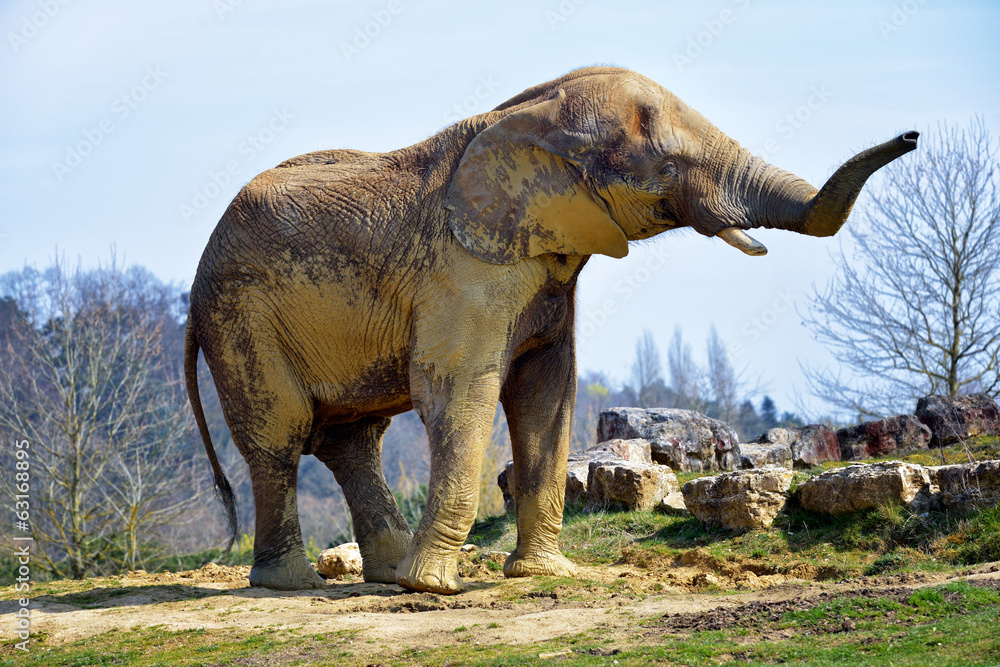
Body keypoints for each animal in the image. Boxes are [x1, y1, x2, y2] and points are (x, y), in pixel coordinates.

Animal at [184, 66, 917, 594]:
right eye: (666, 168)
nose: (911, 138)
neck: (528, 114)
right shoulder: (464, 269)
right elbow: (458, 391)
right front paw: (438, 590)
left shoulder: (547, 272)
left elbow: (547, 392)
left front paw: (545, 575)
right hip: (240, 317)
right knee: (279, 436)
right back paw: (295, 584)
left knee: (353, 440)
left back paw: (384, 577)